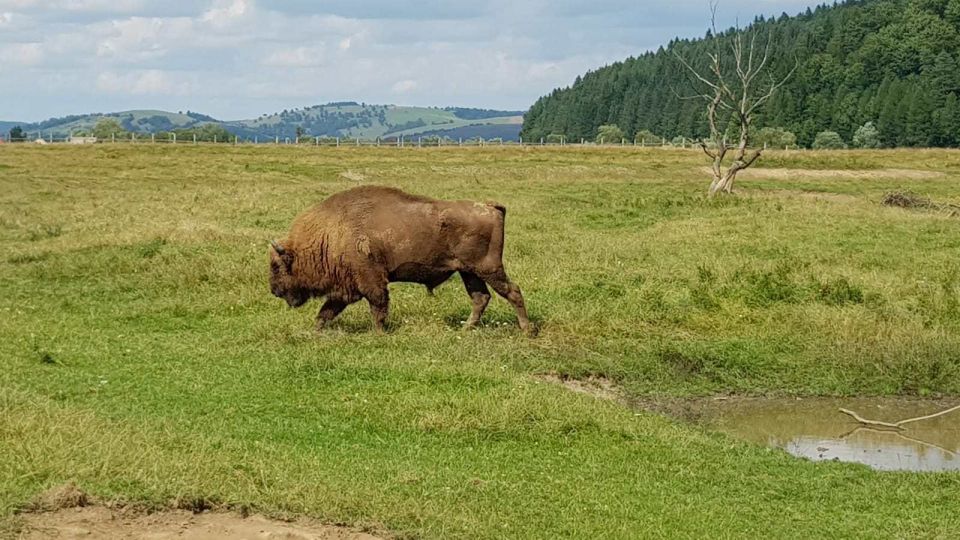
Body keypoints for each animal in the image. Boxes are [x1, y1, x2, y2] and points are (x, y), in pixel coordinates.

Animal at [268, 188, 532, 336]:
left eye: (276, 266)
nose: (274, 290)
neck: (329, 234)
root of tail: (490, 207)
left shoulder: (370, 280)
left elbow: (378, 306)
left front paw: (379, 334)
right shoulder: (346, 288)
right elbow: (326, 311)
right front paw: (315, 331)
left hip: (488, 268)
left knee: (513, 291)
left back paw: (527, 330)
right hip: (469, 272)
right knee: (480, 298)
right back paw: (466, 329)